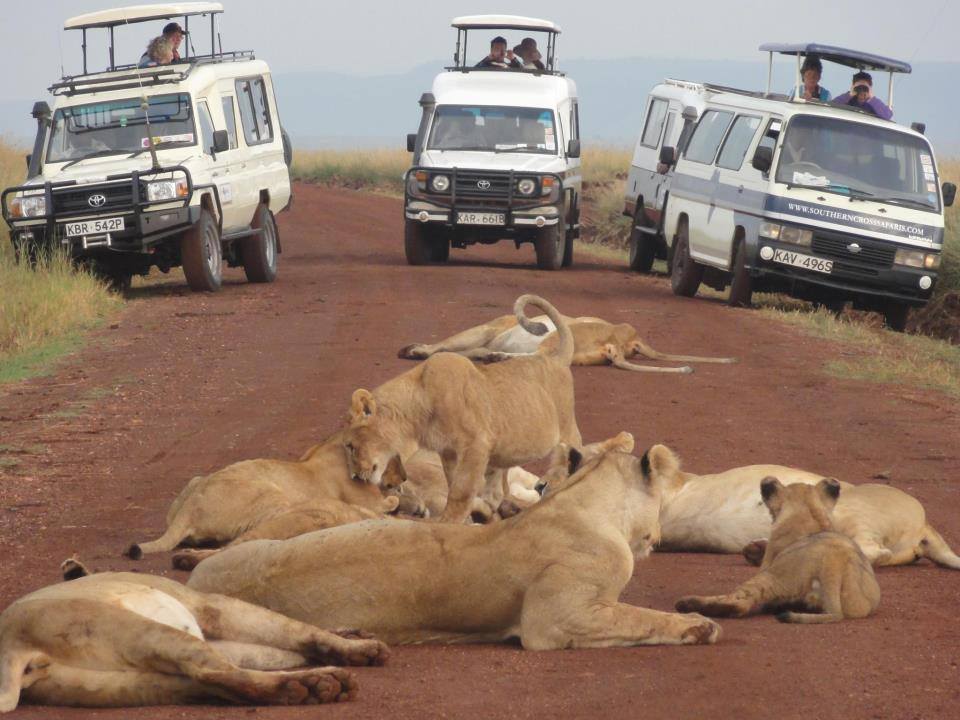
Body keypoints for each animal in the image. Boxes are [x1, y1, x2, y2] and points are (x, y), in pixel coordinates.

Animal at [0, 561, 388, 712]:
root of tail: (10, 647)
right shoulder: (209, 606)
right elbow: (297, 630)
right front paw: (363, 648)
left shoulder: (225, 637)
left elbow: (285, 645)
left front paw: (352, 636)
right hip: (128, 627)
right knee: (212, 671)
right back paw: (318, 683)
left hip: (119, 685)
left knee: (214, 682)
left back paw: (309, 688)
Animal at [186, 445, 721, 649]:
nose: (658, 537)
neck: (583, 499)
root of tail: (198, 582)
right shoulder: (554, 619)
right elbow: (641, 617)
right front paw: (699, 626)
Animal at [343, 294, 582, 523]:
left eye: (352, 446)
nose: (357, 477)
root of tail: (555, 358)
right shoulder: (448, 452)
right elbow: (454, 486)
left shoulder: (477, 444)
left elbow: (461, 491)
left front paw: (449, 521)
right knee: (497, 493)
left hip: (566, 431)